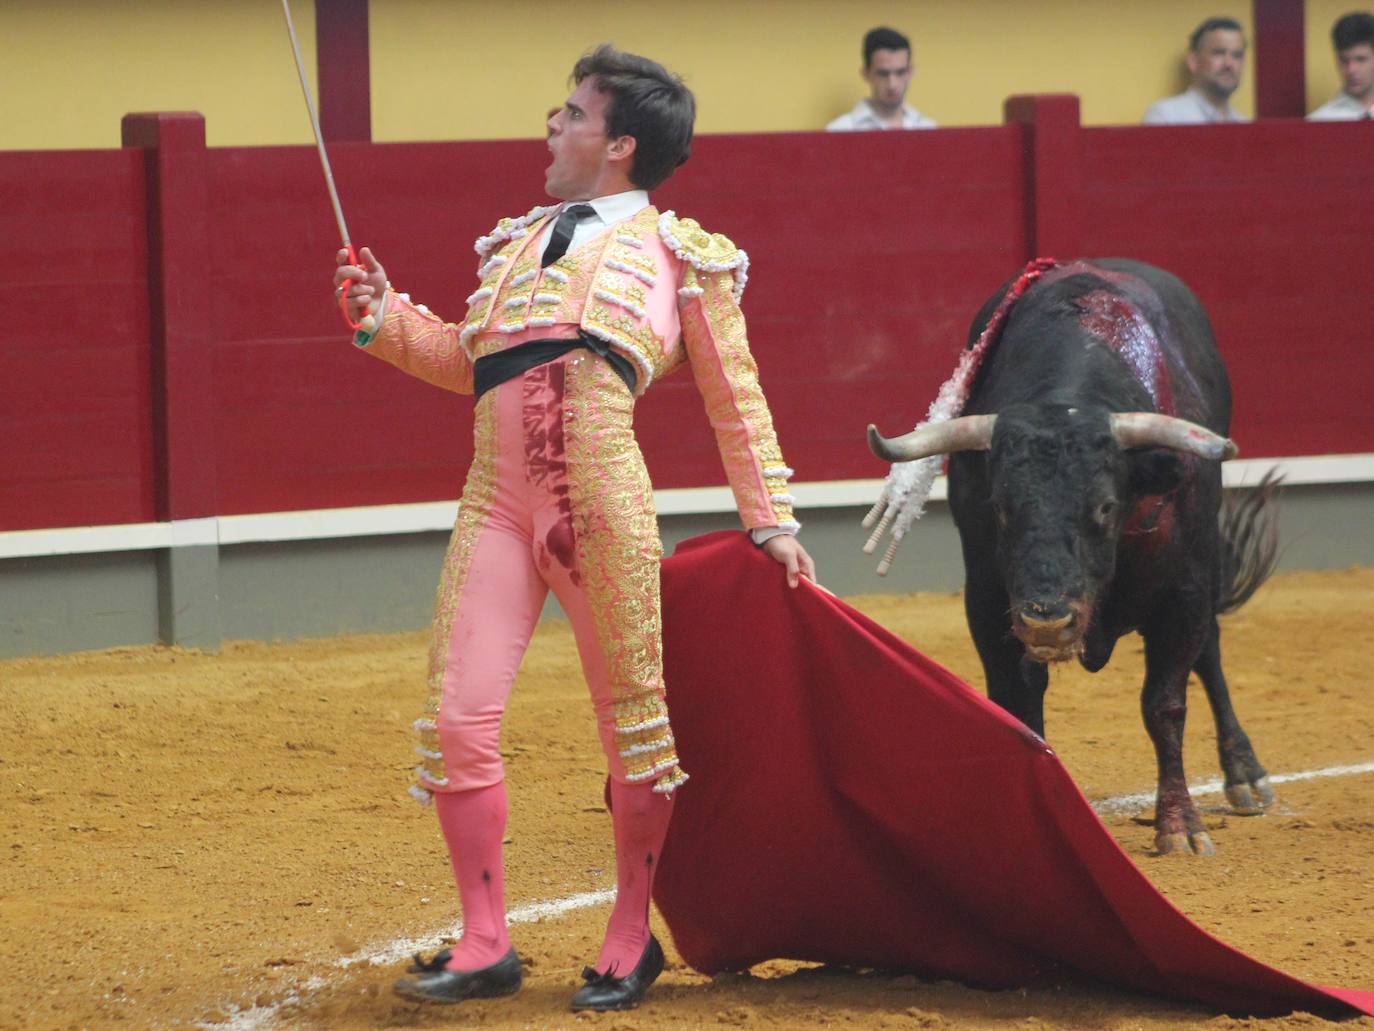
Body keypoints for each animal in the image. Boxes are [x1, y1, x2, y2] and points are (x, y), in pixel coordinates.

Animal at [868, 257, 1275, 857]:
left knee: (1210, 654)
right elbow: (1018, 704)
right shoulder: (987, 600)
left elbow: (1164, 705)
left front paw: (1179, 826)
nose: (1047, 620)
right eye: (1001, 506)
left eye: (1105, 506)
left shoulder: (1185, 592)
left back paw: (1246, 774)